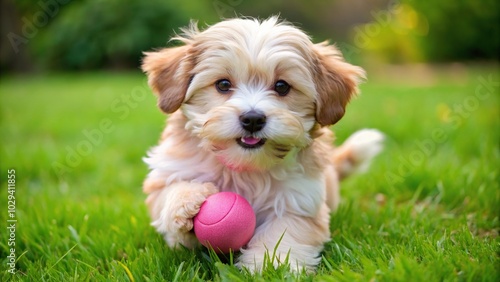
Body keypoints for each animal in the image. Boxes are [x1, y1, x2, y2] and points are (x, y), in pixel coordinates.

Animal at [141, 16, 382, 272]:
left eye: (282, 86)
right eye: (223, 84)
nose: (253, 119)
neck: (244, 166)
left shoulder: (300, 199)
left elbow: (285, 232)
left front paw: (272, 264)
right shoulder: (169, 170)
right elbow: (167, 192)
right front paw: (186, 201)